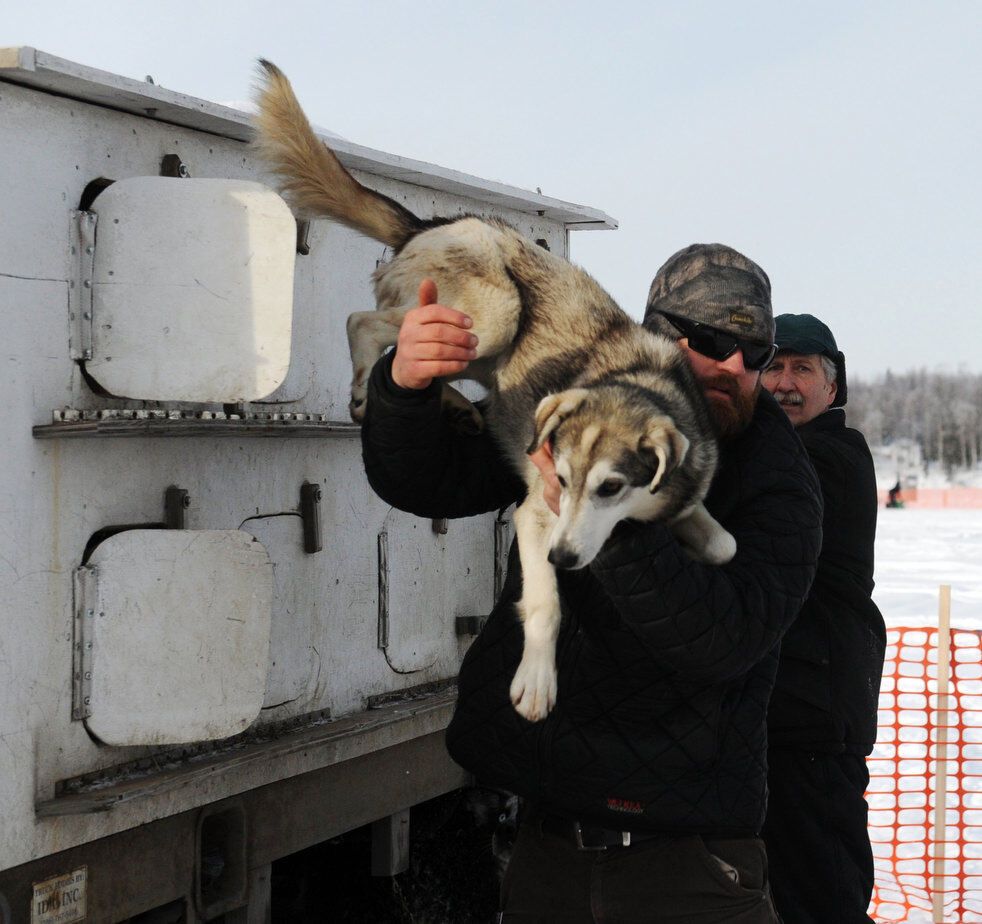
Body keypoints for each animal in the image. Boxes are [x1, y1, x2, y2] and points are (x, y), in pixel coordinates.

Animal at [254, 61, 736, 720]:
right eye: (563, 478)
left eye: (611, 487)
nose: (563, 558)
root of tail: (430, 223)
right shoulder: (536, 516)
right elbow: (545, 605)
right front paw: (536, 680)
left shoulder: (681, 499)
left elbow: (725, 546)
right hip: (494, 314)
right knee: (367, 325)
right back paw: (367, 392)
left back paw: (458, 407)